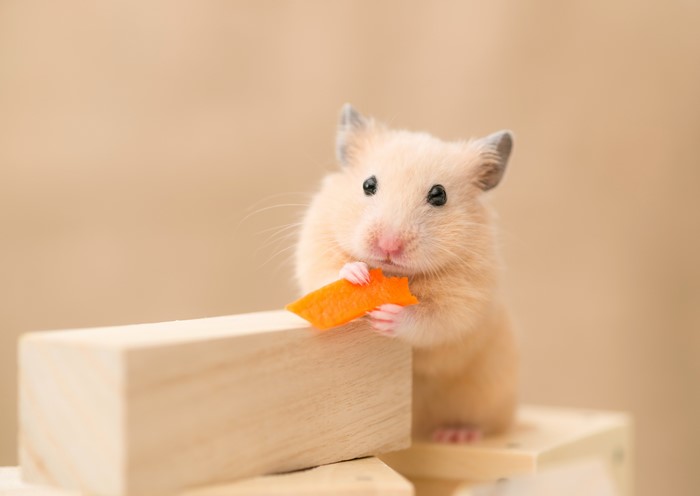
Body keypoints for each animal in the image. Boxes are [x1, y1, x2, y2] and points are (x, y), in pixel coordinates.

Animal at [294, 104, 518, 442]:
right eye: (368, 185)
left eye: (439, 195)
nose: (388, 245)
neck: (394, 275)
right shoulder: (317, 242)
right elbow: (327, 271)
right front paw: (356, 273)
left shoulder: (466, 299)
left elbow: (433, 320)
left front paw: (387, 316)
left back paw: (456, 434)